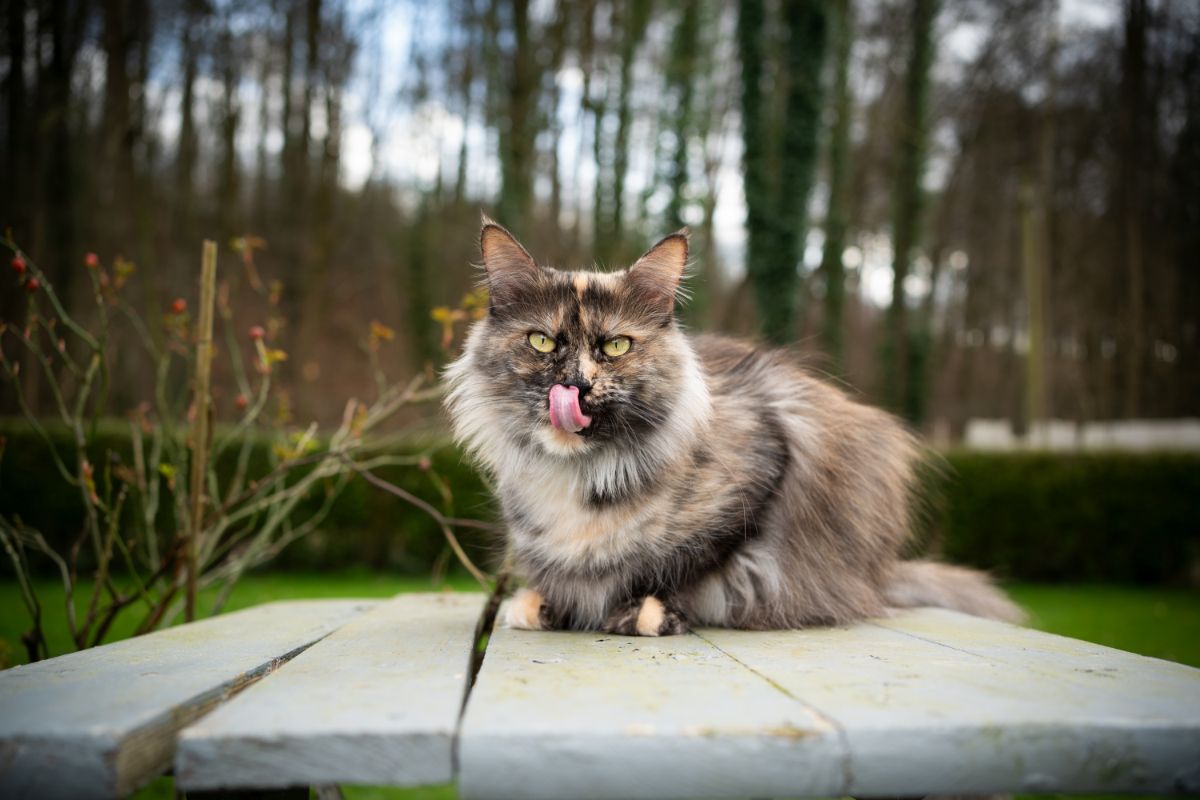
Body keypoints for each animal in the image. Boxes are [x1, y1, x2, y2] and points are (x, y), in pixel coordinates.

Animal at [444, 219, 1022, 638]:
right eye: (542, 342)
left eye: (616, 346)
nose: (575, 386)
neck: (581, 473)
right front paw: (543, 604)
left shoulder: (759, 472)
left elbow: (676, 566)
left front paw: (641, 612)